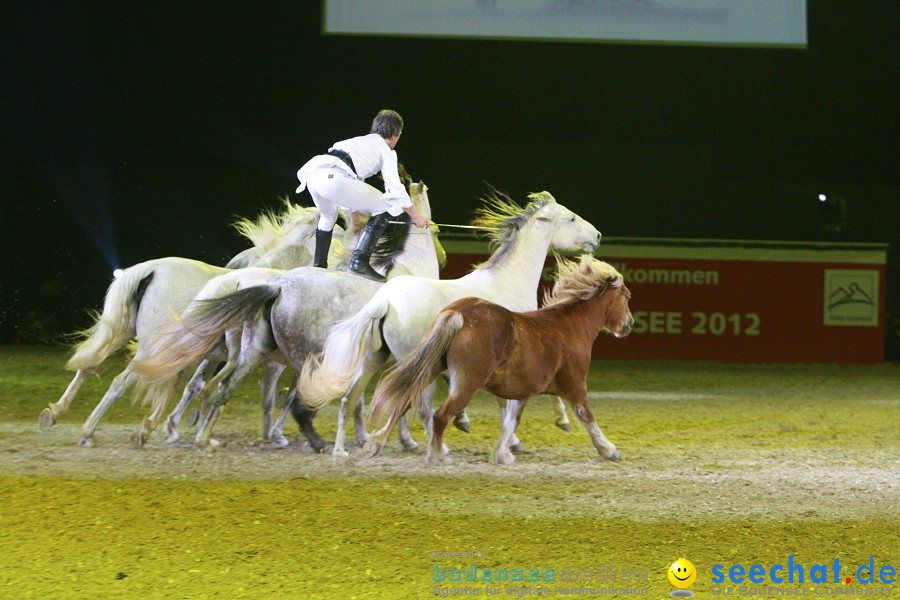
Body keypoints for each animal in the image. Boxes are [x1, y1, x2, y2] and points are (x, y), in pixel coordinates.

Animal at [40, 203, 354, 446]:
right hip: (153, 346)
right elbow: (266, 394)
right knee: (121, 380)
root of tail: (150, 270)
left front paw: (175, 425)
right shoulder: (267, 359)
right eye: (339, 229)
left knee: (88, 367)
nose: (350, 253)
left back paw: (54, 414)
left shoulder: (213, 355)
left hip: (121, 332)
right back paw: (90, 430)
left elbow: (194, 385)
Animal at [131, 179, 442, 450]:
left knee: (203, 384)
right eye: (438, 232)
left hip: (241, 350)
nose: (443, 258)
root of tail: (275, 286)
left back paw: (184, 431)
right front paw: (400, 439)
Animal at [298, 191, 600, 454]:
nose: (597, 236)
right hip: (412, 362)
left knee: (348, 400)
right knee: (414, 404)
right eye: (571, 218)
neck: (507, 280)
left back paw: (340, 451)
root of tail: (384, 300)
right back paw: (434, 446)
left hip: (374, 359)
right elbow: (520, 397)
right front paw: (554, 424)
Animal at [366, 255, 632, 466]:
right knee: (439, 415)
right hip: (467, 382)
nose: (628, 325)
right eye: (627, 297)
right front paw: (609, 450)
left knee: (403, 402)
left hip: (430, 369)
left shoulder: (523, 391)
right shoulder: (575, 384)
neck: (569, 326)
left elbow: (511, 421)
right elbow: (586, 415)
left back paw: (377, 442)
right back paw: (437, 456)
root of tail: (458, 314)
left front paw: (503, 454)